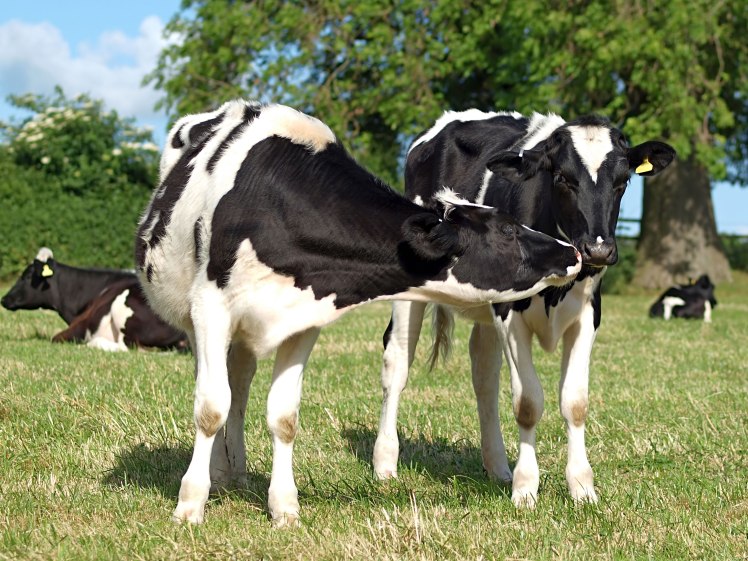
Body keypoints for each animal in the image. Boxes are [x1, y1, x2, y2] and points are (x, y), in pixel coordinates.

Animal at [134, 100, 583, 526]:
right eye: (507, 230)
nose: (572, 252)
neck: (274, 206)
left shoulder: (303, 317)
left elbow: (283, 415)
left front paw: (284, 508)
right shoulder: (211, 308)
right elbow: (211, 408)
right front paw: (190, 504)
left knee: (240, 384)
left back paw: (236, 471)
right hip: (196, 319)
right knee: (219, 387)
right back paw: (217, 472)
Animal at [373, 110, 675, 508]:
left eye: (623, 181)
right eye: (562, 178)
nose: (598, 250)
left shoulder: (587, 316)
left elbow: (575, 402)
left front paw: (582, 487)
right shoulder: (510, 312)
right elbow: (528, 403)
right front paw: (526, 488)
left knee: (484, 374)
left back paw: (497, 466)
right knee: (397, 362)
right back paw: (385, 464)